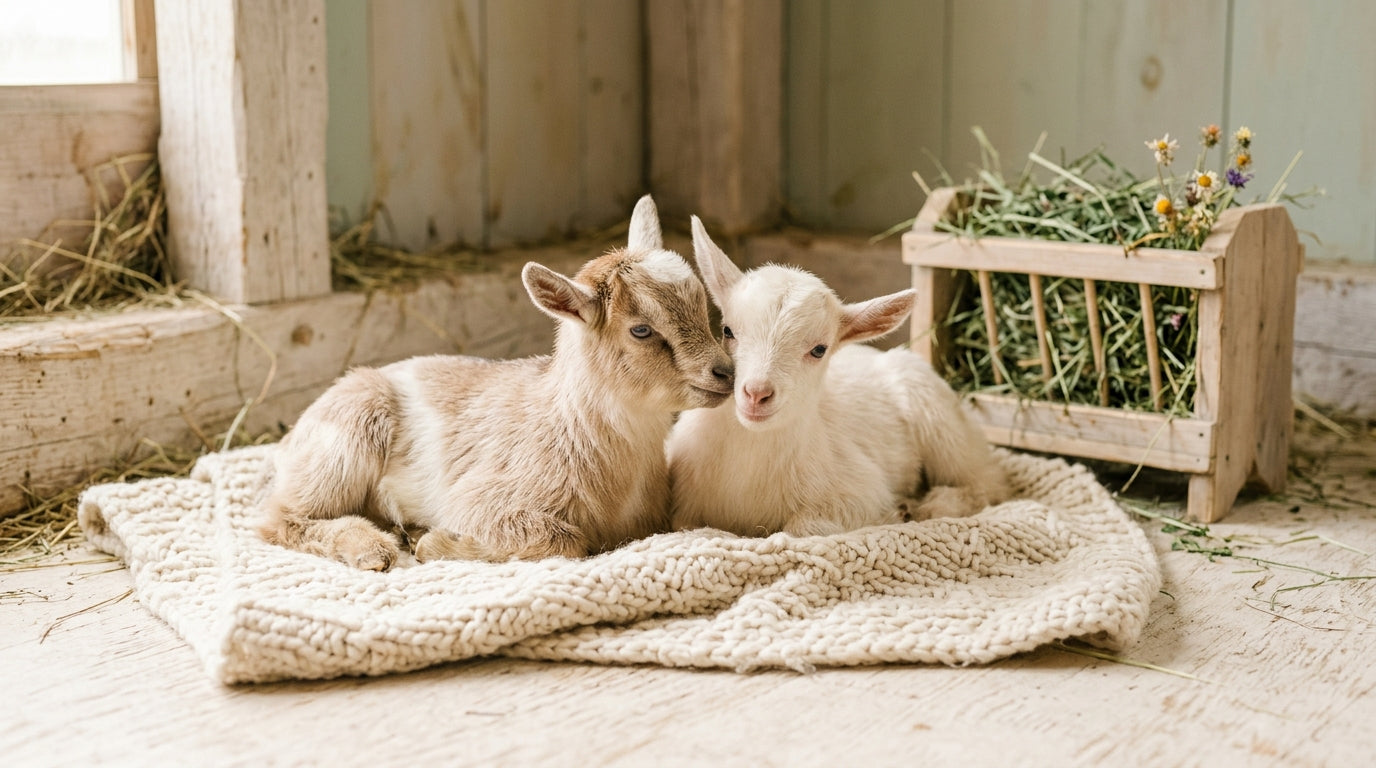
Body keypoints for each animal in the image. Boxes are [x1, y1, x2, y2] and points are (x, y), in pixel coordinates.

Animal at [260, 196, 734, 570]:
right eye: (641, 330)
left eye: (702, 305)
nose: (725, 371)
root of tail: (289, 442)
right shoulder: (481, 502)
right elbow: (566, 541)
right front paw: (434, 542)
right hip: (346, 442)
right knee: (280, 518)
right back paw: (374, 548)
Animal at [667, 218, 1009, 537]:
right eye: (727, 330)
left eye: (819, 349)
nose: (757, 393)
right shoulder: (683, 511)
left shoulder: (862, 492)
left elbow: (802, 527)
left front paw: (893, 515)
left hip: (944, 428)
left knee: (986, 483)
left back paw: (929, 506)